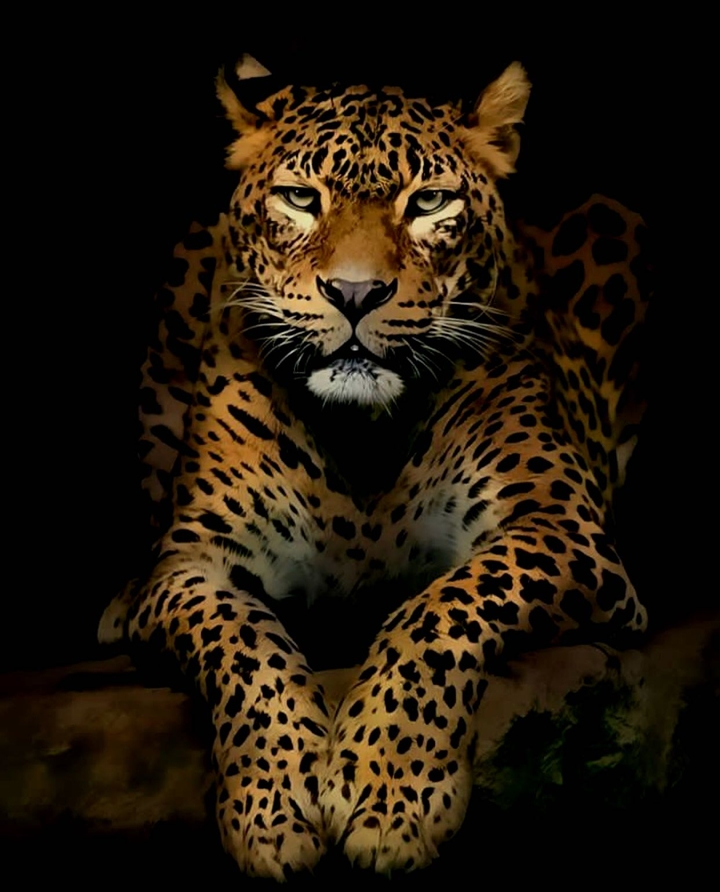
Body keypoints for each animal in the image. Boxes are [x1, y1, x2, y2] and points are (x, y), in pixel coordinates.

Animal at [99, 56, 650, 879]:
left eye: (428, 202)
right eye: (301, 199)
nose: (355, 294)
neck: (359, 438)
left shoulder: (559, 525)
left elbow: (441, 610)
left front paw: (390, 794)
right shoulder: (193, 563)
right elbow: (242, 642)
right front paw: (273, 804)